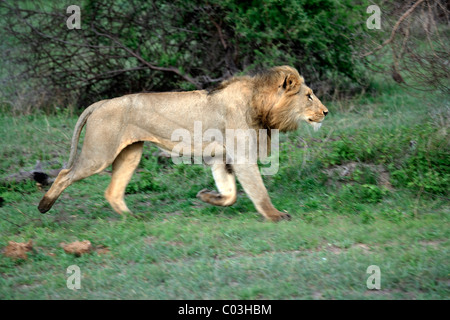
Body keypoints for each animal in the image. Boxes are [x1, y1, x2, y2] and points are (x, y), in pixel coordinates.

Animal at [37, 66, 326, 221]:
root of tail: (101, 103)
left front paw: (207, 196)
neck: (263, 108)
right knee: (64, 173)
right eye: (309, 96)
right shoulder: (242, 156)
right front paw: (275, 215)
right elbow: (259, 191)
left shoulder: (220, 158)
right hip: (100, 154)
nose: (326, 112)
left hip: (130, 153)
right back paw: (44, 206)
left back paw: (133, 218)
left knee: (112, 191)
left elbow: (230, 194)